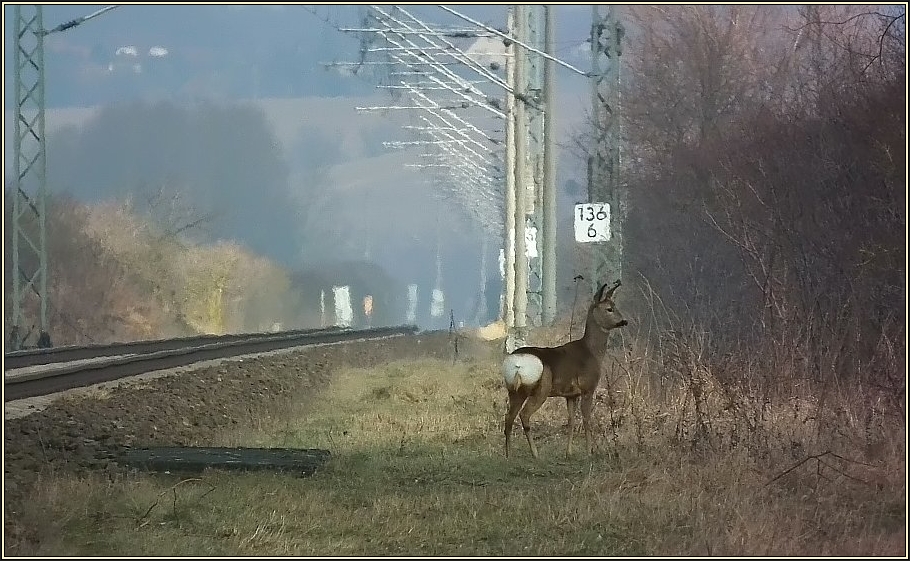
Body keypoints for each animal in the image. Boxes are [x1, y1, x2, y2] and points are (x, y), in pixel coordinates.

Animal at [502, 280, 632, 460]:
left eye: (615, 305)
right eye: (609, 308)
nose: (623, 321)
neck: (592, 352)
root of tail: (517, 364)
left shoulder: (571, 395)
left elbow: (571, 421)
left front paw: (568, 452)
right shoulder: (587, 388)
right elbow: (586, 419)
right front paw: (589, 452)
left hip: (514, 391)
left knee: (508, 418)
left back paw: (508, 455)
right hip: (540, 389)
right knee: (524, 415)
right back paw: (535, 454)